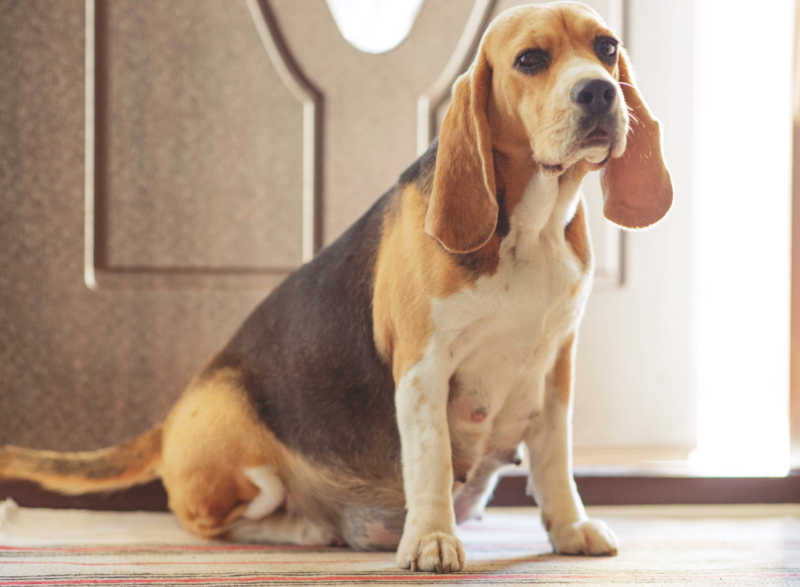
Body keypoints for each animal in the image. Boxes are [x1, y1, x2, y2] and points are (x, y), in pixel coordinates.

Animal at [0, 2, 672, 576]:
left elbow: (555, 460)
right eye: (531, 59)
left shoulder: (555, 365)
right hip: (239, 450)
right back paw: (307, 527)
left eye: (606, 48)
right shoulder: (423, 368)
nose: (599, 91)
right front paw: (432, 539)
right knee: (214, 519)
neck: (531, 227)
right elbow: (431, 459)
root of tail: (167, 422)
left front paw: (570, 529)